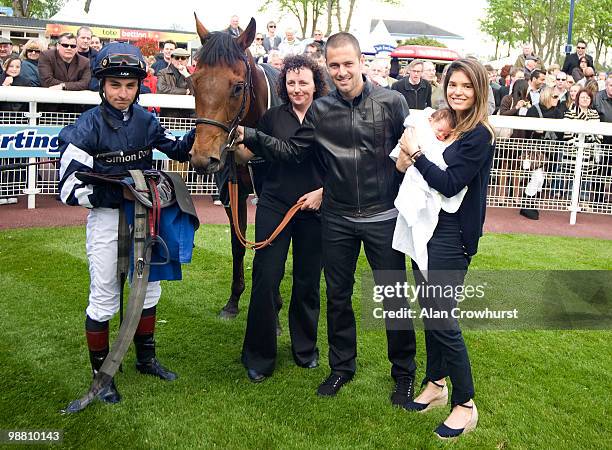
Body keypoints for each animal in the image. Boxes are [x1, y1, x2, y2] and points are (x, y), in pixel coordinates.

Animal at [189, 15, 282, 322]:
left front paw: (274, 306)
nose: (202, 158)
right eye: (193, 82)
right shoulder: (235, 192)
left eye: (238, 87)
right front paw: (233, 301)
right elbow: (238, 243)